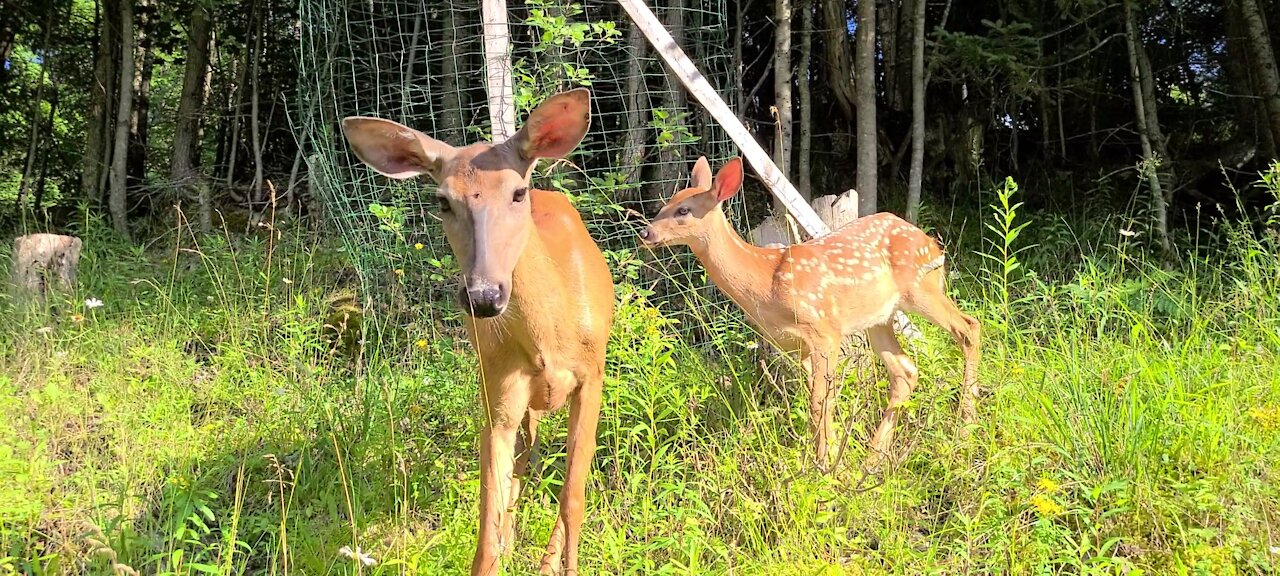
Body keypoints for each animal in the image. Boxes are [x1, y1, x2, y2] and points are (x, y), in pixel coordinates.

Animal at [343, 87, 611, 573]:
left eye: (517, 192)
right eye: (442, 201)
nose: (484, 295)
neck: (548, 339)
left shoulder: (592, 376)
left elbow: (572, 499)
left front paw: (562, 564)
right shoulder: (498, 394)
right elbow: (487, 526)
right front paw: (503, 547)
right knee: (523, 459)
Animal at [640, 155, 977, 465]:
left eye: (684, 210)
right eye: (667, 203)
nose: (646, 233)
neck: (764, 282)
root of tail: (931, 242)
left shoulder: (824, 330)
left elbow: (819, 403)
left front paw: (826, 467)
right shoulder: (794, 345)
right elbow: (822, 402)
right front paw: (836, 455)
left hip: (922, 287)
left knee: (968, 328)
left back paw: (964, 427)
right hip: (878, 318)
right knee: (905, 371)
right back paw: (874, 456)